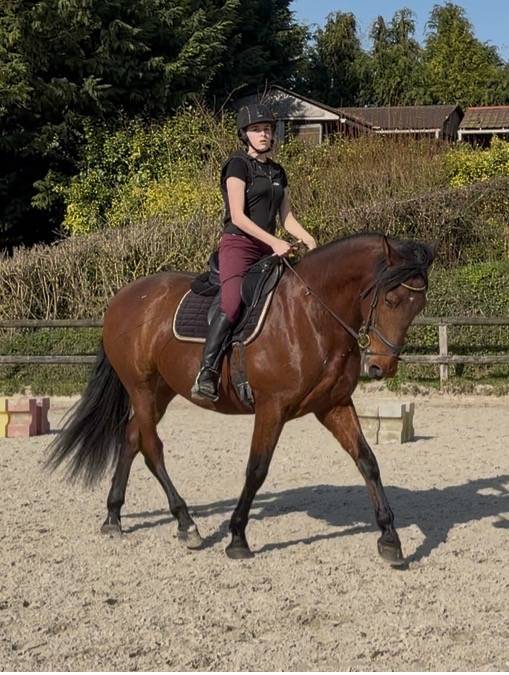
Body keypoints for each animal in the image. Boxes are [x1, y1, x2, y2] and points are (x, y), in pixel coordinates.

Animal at [47, 232, 436, 565]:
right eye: (391, 300)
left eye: (418, 305)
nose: (381, 367)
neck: (312, 316)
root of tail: (122, 298)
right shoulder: (271, 407)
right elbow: (256, 469)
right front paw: (237, 538)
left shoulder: (333, 405)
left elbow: (367, 461)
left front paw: (390, 538)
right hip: (140, 388)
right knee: (152, 448)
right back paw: (186, 524)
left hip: (160, 391)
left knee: (131, 439)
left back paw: (114, 516)